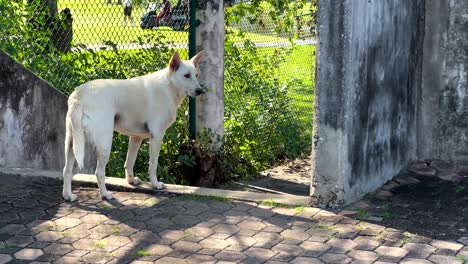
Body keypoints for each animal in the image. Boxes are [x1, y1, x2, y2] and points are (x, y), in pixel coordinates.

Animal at [61, 50, 204, 201]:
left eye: (196, 75)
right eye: (186, 76)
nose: (200, 91)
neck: (168, 86)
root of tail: (78, 95)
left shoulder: (136, 138)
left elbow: (129, 162)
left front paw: (131, 181)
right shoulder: (157, 137)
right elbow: (153, 165)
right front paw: (155, 184)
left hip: (71, 144)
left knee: (66, 170)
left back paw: (68, 195)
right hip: (105, 144)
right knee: (99, 172)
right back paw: (105, 194)